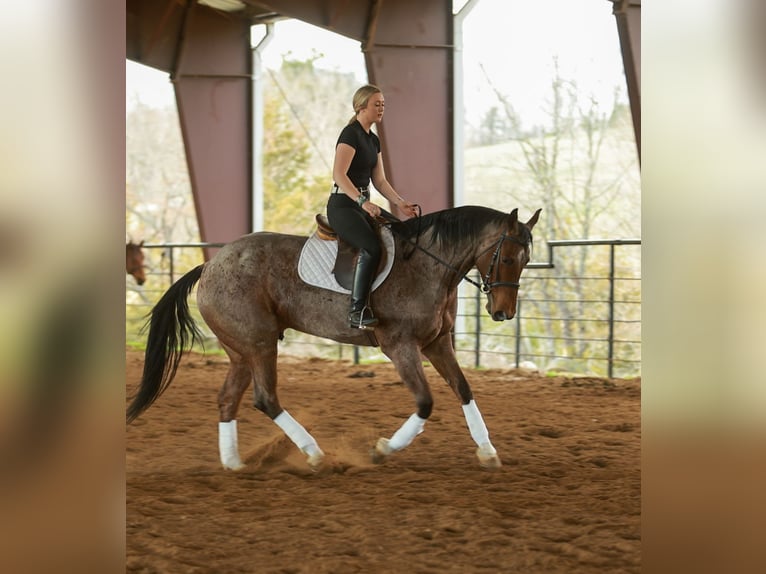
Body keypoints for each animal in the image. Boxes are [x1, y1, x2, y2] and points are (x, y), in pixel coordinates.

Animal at [126, 206, 541, 471]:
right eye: (507, 258)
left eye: (525, 262)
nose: (503, 313)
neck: (427, 265)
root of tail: (210, 264)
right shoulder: (400, 346)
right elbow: (425, 403)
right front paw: (381, 451)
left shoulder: (437, 344)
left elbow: (465, 390)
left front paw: (488, 452)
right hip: (259, 344)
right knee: (265, 398)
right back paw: (315, 455)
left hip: (241, 350)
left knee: (229, 399)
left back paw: (235, 464)